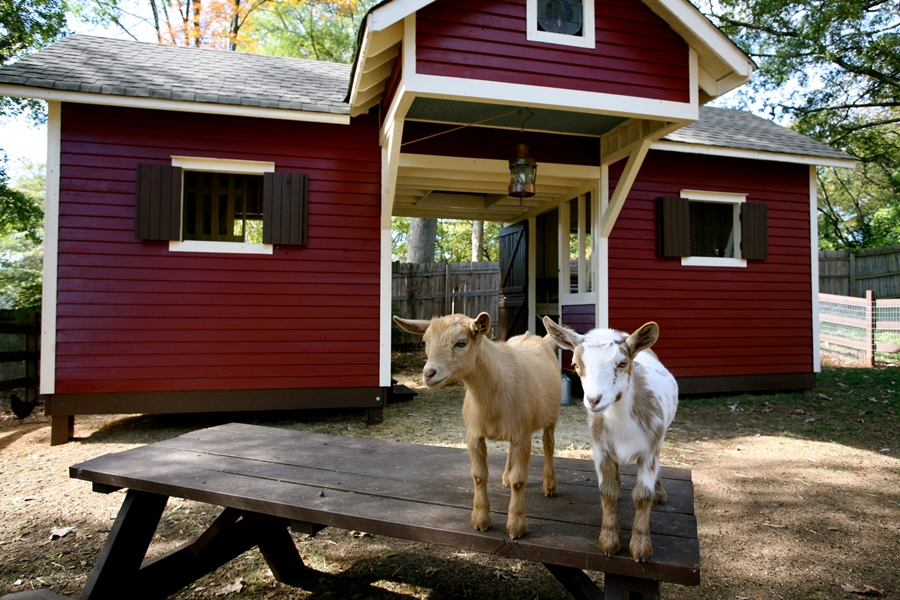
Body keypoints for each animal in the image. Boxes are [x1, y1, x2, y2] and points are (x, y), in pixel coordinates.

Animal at [392, 314, 560, 540]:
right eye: (425, 341)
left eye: (462, 343)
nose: (428, 374)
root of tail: (537, 338)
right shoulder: (474, 435)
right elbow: (479, 476)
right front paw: (480, 520)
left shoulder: (522, 435)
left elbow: (519, 480)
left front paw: (516, 527)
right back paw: (506, 477)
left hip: (552, 416)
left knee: (548, 444)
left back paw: (549, 485)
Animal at [540, 322, 676, 560]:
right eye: (576, 364)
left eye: (622, 363)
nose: (594, 400)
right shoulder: (601, 449)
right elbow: (607, 492)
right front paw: (609, 542)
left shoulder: (649, 451)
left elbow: (643, 496)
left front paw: (641, 547)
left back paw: (660, 492)